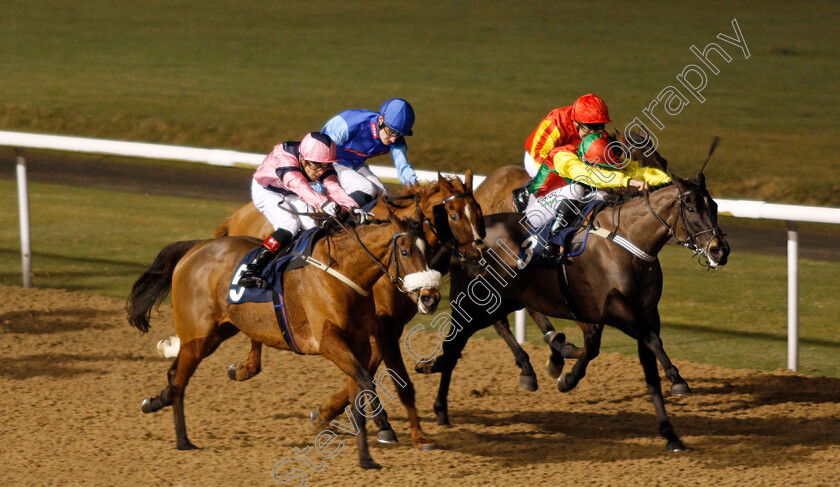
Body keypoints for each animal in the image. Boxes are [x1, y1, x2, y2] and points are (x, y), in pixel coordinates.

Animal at [129, 212, 442, 470]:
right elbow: (366, 380)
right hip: (198, 336)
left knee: (174, 374)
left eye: (429, 251)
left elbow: (359, 391)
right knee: (179, 381)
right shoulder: (328, 341)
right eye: (405, 251)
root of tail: (195, 248)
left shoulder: (360, 344)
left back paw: (155, 402)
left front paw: (366, 458)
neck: (343, 272)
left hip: (219, 331)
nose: (430, 297)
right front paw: (384, 429)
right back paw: (183, 440)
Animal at [210, 171, 486, 450]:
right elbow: (389, 375)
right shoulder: (381, 325)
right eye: (453, 215)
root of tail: (237, 215)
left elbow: (368, 368)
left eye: (478, 212)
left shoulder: (383, 327)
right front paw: (406, 431)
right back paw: (245, 367)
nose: (479, 255)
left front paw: (328, 413)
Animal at [414, 173, 728, 452]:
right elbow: (647, 341)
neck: (629, 243)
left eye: (713, 206)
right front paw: (677, 379)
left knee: (477, 336)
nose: (719, 250)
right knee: (456, 342)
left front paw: (567, 376)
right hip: (473, 302)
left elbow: (611, 349)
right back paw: (439, 396)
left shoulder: (641, 313)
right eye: (691, 207)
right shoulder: (616, 311)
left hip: (503, 301)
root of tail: (466, 240)